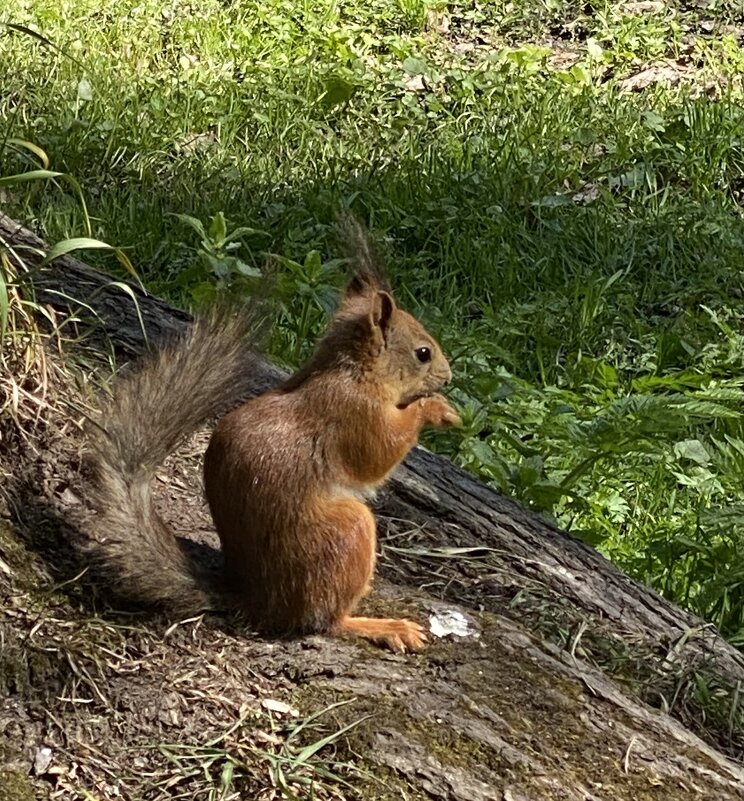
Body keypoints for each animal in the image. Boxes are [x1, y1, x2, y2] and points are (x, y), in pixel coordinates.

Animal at [87, 225, 460, 648]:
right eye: (423, 353)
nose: (448, 378)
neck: (350, 371)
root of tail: (259, 600)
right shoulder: (353, 412)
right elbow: (378, 455)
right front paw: (434, 408)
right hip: (347, 531)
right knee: (325, 622)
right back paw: (379, 626)